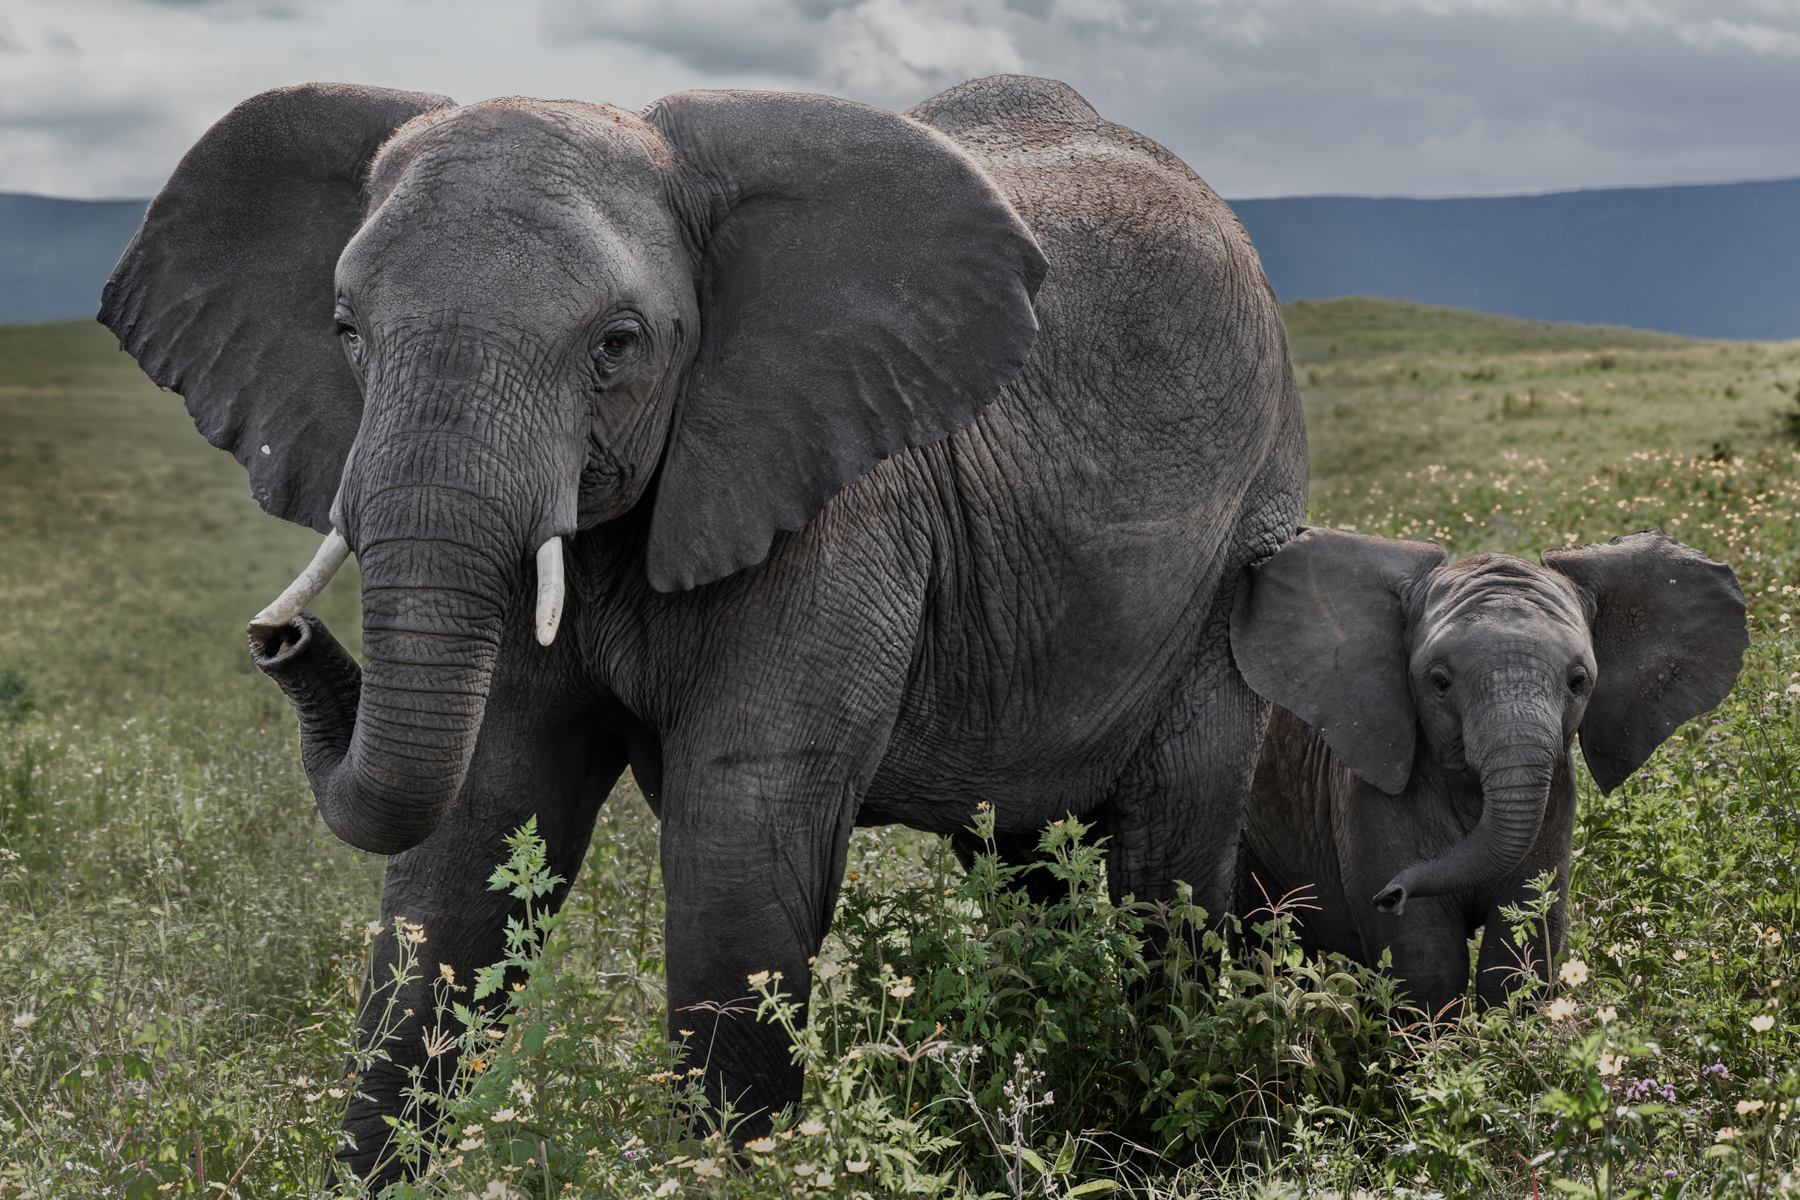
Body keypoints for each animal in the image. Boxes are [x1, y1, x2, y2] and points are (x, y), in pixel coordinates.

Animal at [98, 75, 1307, 1179]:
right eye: (346, 331)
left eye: (618, 344)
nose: (280, 640)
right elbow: (469, 839)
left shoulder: (843, 498)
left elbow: (737, 840)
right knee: (1028, 858)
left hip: (1244, 541)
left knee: (1169, 867)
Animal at [1228, 527, 1746, 1018]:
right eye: (1439, 683)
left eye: (1578, 682)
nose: (1390, 894)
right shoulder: (1365, 792)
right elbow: (1425, 964)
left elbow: (1523, 945)